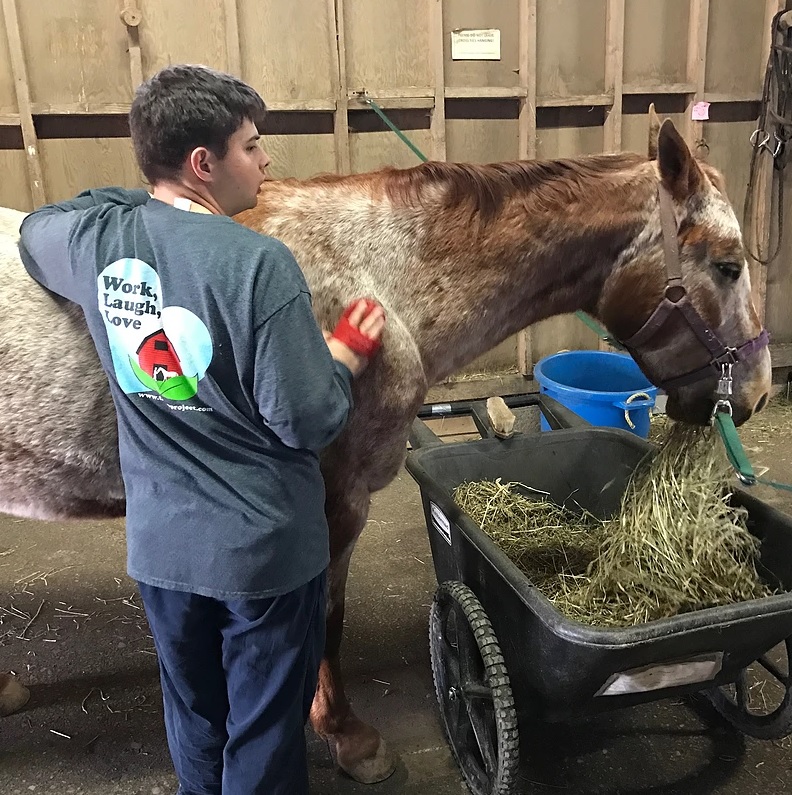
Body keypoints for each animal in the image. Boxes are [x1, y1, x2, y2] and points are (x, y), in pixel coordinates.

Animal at [0, 111, 771, 783]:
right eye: (729, 266)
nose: (759, 392)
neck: (377, 273)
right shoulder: (334, 502)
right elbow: (326, 621)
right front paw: (348, 737)